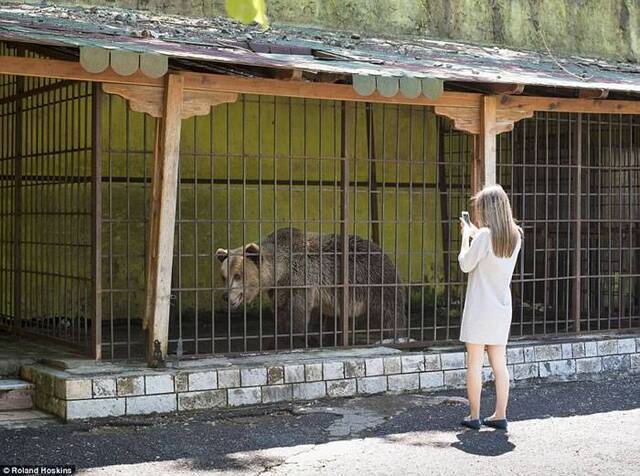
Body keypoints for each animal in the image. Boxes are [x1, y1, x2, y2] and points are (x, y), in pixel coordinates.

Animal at [215, 228, 404, 346]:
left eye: (238, 276)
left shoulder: (301, 280)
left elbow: (296, 316)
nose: (226, 296)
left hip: (373, 280)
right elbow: (281, 315)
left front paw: (294, 339)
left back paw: (394, 337)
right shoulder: (280, 290)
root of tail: (381, 249)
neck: (281, 271)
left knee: (388, 311)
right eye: (224, 276)